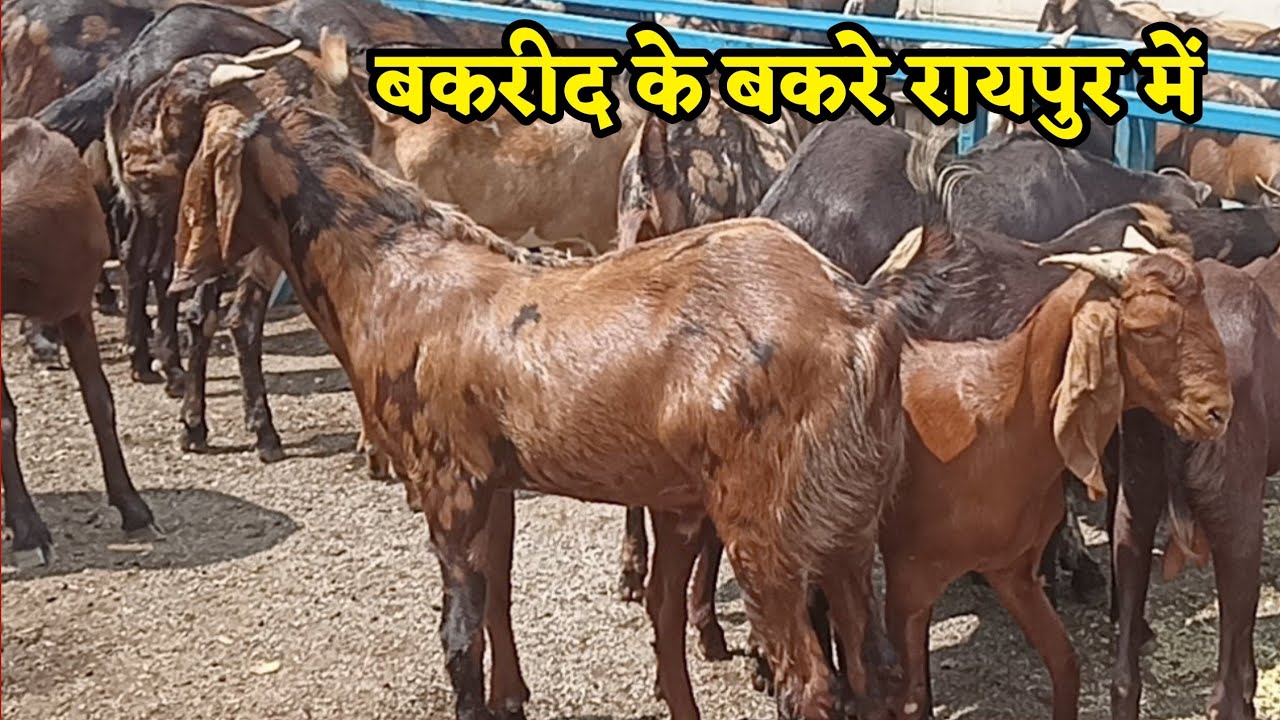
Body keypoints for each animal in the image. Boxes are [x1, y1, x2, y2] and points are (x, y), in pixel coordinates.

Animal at [132, 46, 953, 720]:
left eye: (172, 112)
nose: (130, 165)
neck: (391, 271)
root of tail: (863, 312)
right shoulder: (494, 480)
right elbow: (499, 597)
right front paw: (513, 698)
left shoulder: (448, 481)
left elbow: (459, 637)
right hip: (846, 522)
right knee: (874, 668)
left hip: (769, 527)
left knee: (809, 684)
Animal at [882, 232, 1233, 720]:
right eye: (1147, 328)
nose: (1218, 411)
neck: (997, 421)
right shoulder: (908, 579)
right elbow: (913, 698)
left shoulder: (1014, 569)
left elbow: (1066, 665)